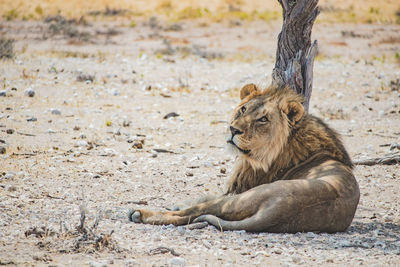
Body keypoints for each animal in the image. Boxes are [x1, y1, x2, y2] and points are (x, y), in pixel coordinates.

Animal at [128, 85, 360, 233]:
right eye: (243, 109)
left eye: (263, 119)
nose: (233, 130)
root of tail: (278, 212)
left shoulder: (239, 188)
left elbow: (203, 200)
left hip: (240, 199)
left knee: (192, 214)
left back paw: (139, 213)